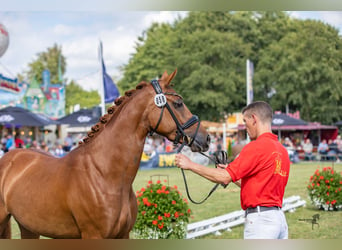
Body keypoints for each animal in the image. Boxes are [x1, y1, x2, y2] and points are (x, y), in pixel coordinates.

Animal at [0, 70, 210, 238]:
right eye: (179, 103)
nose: (206, 138)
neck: (103, 174)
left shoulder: (123, 235)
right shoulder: (94, 235)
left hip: (29, 227)